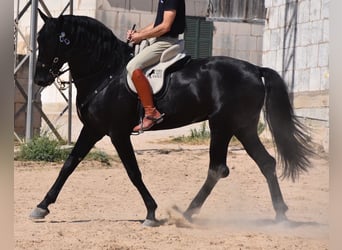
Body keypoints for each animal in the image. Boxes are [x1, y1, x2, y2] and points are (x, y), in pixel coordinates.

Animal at [30, 12, 314, 227]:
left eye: (57, 41)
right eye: (39, 38)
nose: (40, 79)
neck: (105, 73)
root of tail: (255, 69)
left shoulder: (117, 132)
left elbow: (133, 172)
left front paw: (151, 212)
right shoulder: (93, 128)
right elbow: (69, 164)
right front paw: (41, 207)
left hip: (221, 125)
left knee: (218, 168)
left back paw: (187, 214)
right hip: (242, 127)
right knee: (265, 162)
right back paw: (280, 214)